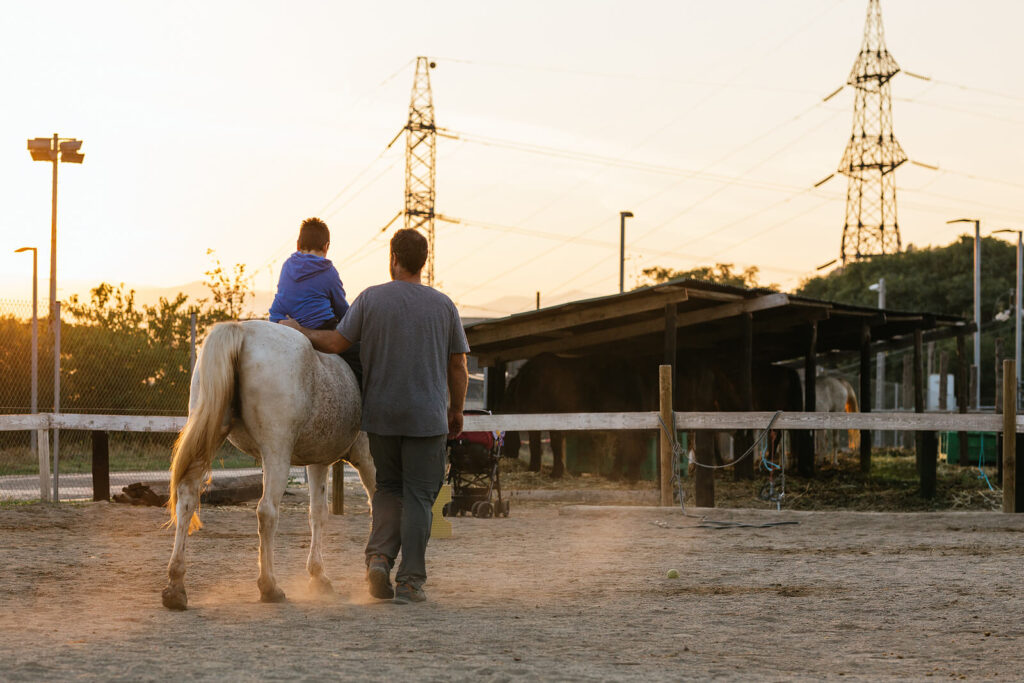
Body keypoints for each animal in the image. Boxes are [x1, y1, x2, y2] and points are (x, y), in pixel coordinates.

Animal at [156, 319, 372, 610]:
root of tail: (242, 329)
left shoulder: (318, 462)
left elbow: (318, 514)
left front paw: (319, 577)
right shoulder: (369, 459)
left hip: (210, 437)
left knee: (187, 499)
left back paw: (176, 587)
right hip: (276, 452)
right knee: (267, 511)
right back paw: (269, 586)